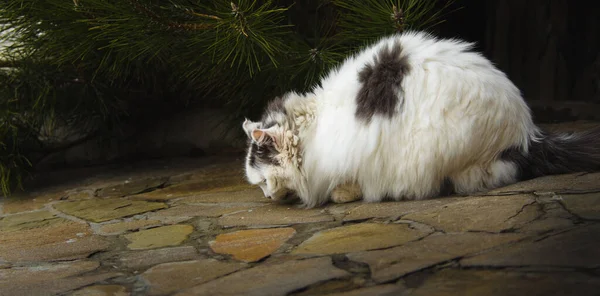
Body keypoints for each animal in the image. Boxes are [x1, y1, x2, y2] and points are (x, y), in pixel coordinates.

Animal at [240, 29, 600, 206]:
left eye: (263, 182)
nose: (267, 197)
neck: (313, 127)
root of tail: (528, 136)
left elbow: (348, 181)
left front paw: (343, 193)